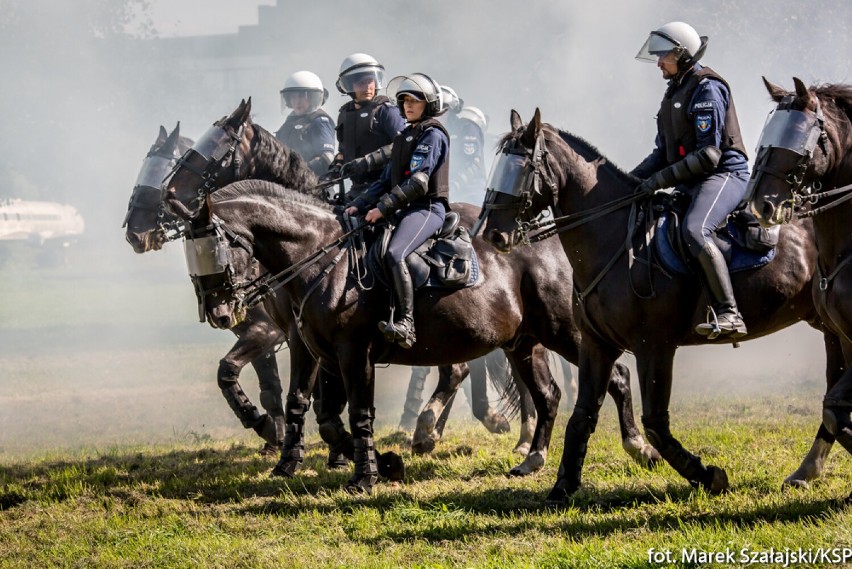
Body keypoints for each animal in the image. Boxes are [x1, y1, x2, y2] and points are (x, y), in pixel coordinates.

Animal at [123, 122, 284, 454]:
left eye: (161, 173)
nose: (134, 235)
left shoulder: (269, 330)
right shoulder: (256, 333)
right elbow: (270, 387)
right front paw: (274, 436)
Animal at [476, 108, 844, 504]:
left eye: (521, 167)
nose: (493, 235)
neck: (613, 239)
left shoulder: (654, 348)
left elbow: (655, 423)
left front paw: (707, 475)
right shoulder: (596, 344)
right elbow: (583, 415)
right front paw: (562, 487)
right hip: (828, 326)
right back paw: (807, 469)